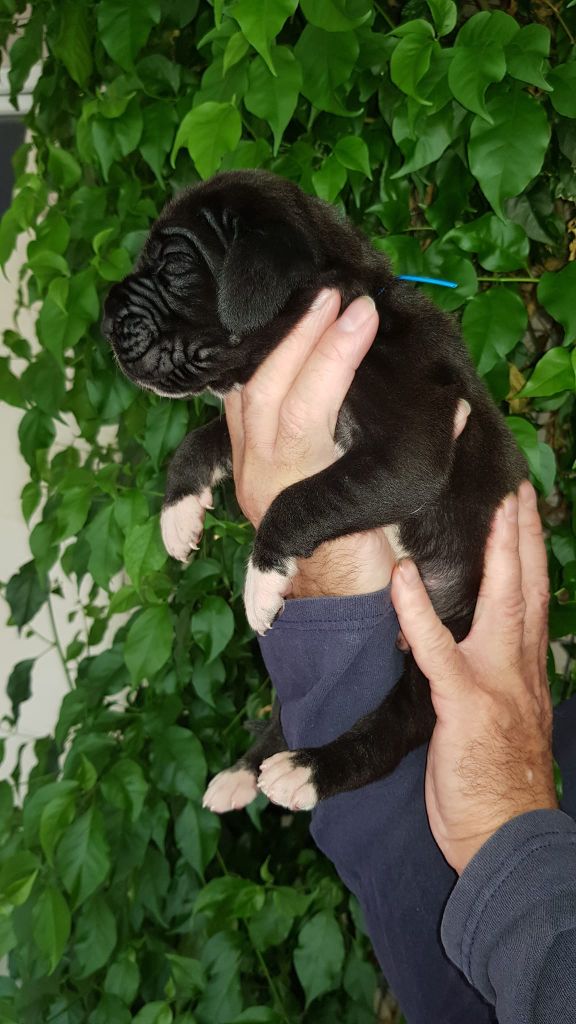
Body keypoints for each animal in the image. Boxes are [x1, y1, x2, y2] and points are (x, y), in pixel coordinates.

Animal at [103, 169, 524, 815]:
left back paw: (308, 769)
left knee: (397, 725)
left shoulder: (412, 447)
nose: (104, 317)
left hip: (448, 644)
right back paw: (244, 771)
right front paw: (177, 512)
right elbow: (202, 438)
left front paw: (260, 576)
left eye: (174, 264)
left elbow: (302, 496)